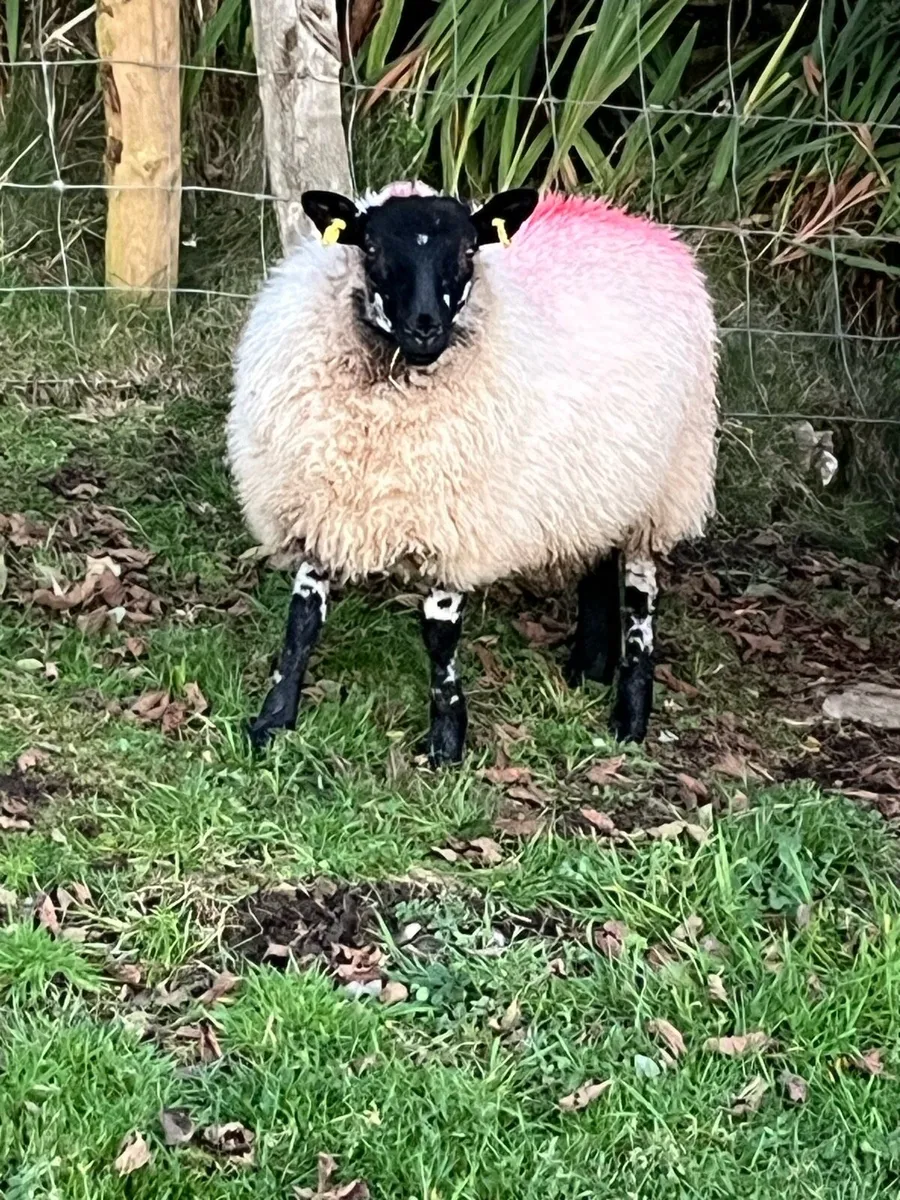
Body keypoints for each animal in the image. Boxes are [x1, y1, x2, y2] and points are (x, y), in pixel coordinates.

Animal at [227, 180, 718, 765]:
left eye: (467, 251)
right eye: (370, 248)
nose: (425, 328)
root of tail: (635, 223)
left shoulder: (458, 524)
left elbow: (440, 636)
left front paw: (446, 742)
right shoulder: (324, 503)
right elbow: (301, 621)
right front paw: (272, 722)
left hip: (665, 483)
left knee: (641, 596)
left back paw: (630, 711)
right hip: (600, 480)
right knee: (598, 558)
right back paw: (589, 666)